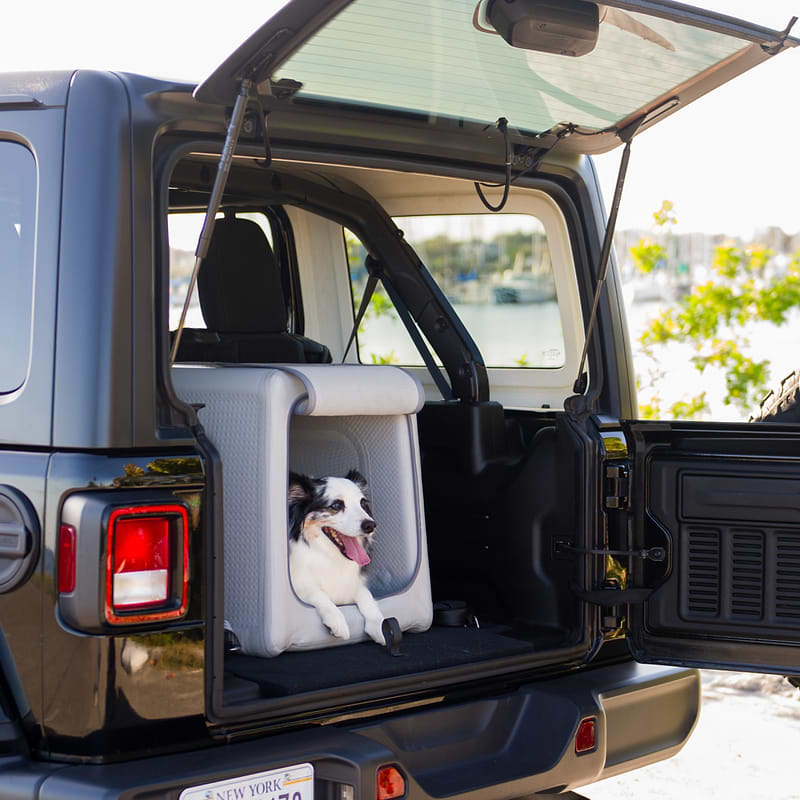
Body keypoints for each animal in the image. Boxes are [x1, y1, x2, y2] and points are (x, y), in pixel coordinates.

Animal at [290, 472, 386, 648]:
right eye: (335, 505)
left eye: (363, 503)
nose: (371, 525)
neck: (329, 555)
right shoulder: (298, 584)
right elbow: (318, 593)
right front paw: (337, 621)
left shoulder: (352, 584)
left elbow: (366, 595)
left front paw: (379, 624)